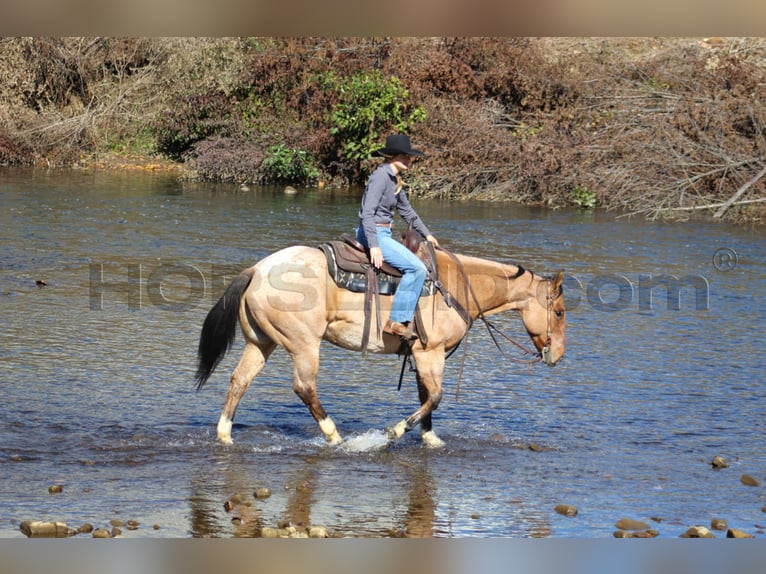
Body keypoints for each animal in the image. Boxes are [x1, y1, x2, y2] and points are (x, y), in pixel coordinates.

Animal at [195, 243, 568, 450]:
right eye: (560, 312)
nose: (557, 356)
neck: (457, 287)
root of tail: (257, 270)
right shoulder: (431, 353)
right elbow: (435, 396)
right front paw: (395, 431)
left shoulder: (420, 354)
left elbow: (426, 397)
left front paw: (430, 438)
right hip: (303, 344)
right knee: (304, 386)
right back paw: (335, 436)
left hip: (262, 342)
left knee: (240, 380)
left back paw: (225, 434)